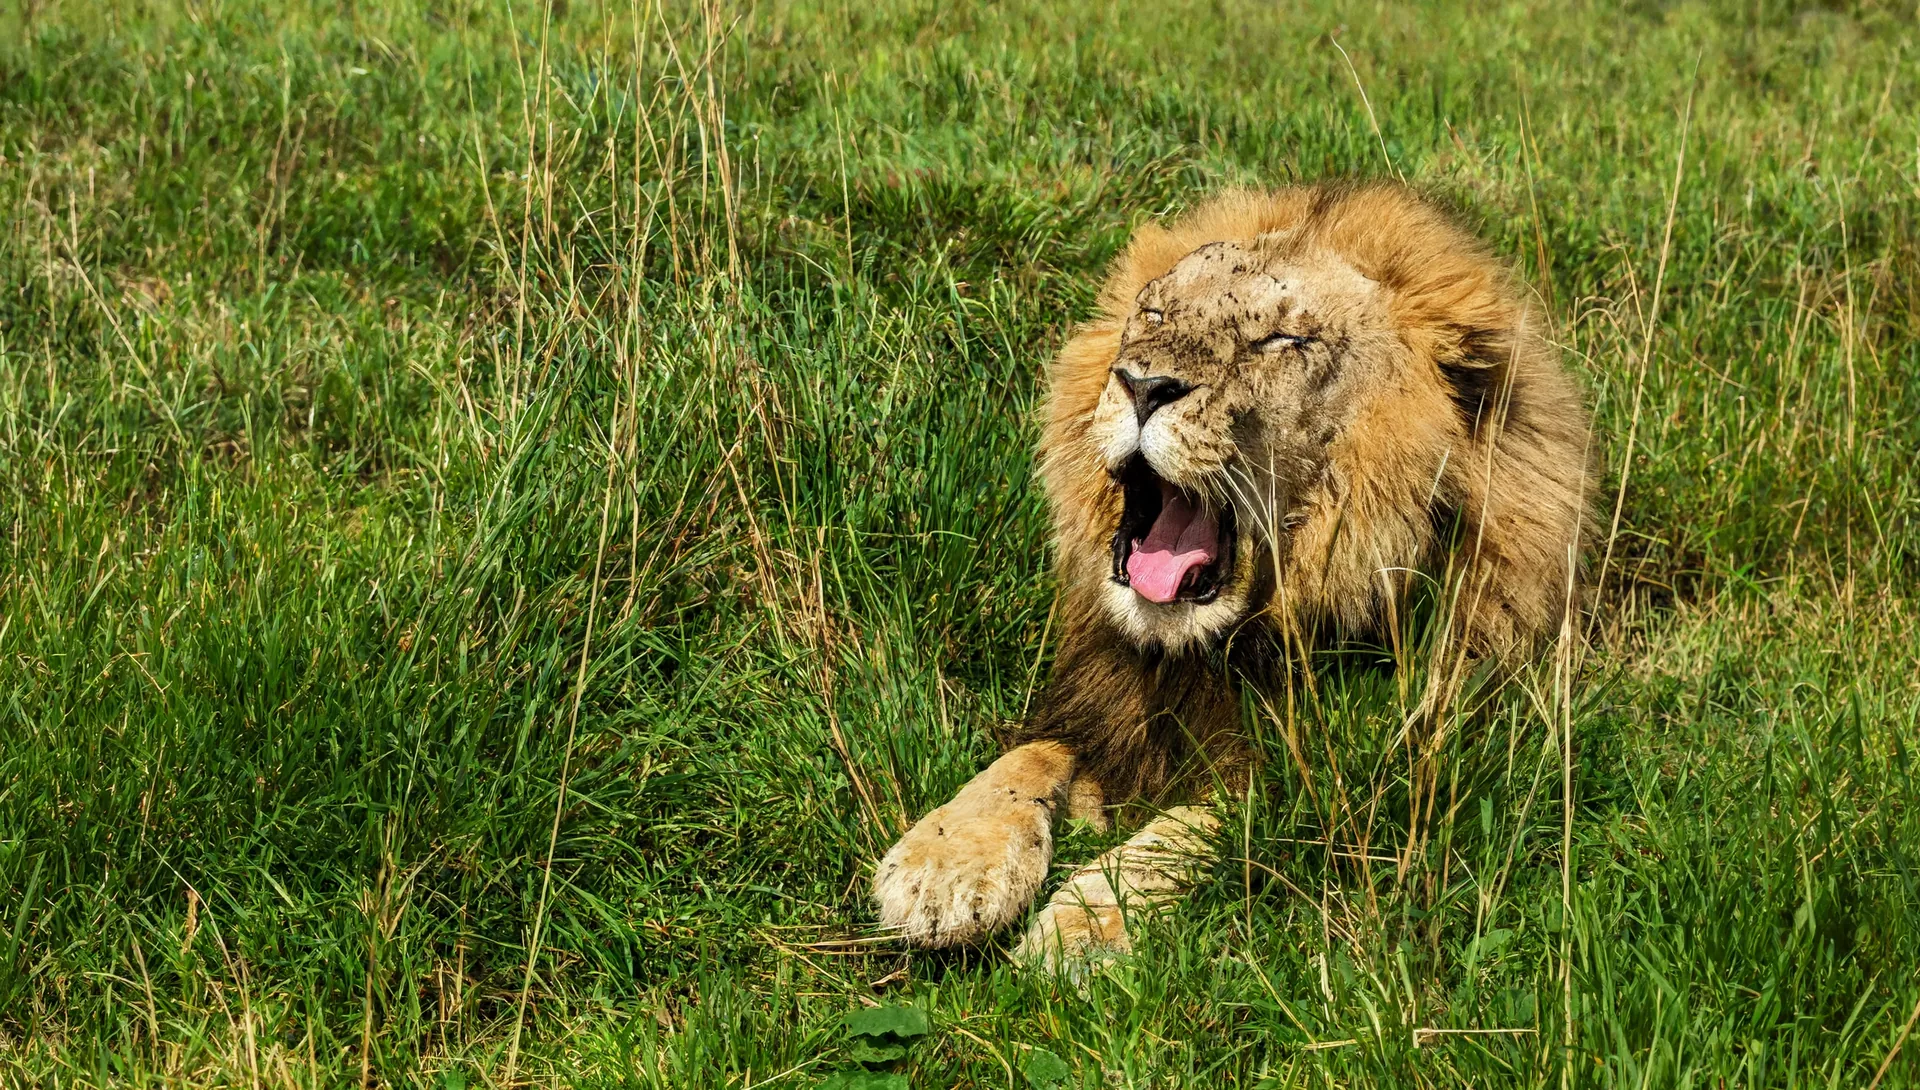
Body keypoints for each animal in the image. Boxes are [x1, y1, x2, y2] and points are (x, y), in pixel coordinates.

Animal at [872, 182, 1593, 967]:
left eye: (1281, 341)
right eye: (1154, 315)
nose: (1143, 385)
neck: (1205, 653)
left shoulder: (1341, 772)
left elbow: (1200, 824)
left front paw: (1083, 924)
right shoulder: (1096, 705)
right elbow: (1022, 759)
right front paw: (944, 863)